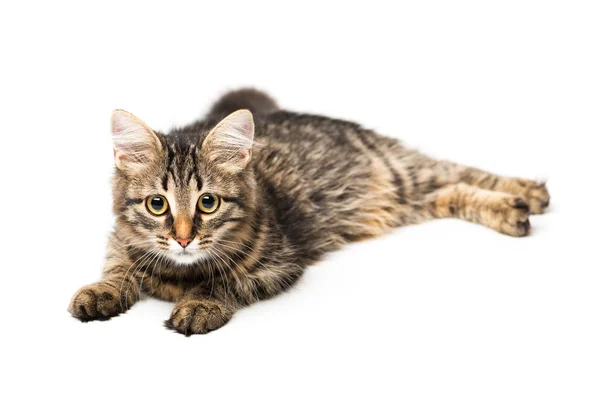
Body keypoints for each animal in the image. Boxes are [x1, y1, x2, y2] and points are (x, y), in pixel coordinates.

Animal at [67, 89, 548, 336]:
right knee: (453, 190)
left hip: (401, 174)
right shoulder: (119, 242)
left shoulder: (279, 263)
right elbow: (117, 269)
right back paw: (516, 207)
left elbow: (225, 282)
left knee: (463, 172)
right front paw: (99, 292)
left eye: (208, 203)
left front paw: (199, 304)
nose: (184, 238)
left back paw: (525, 196)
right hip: (410, 200)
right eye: (157, 204)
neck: (179, 272)